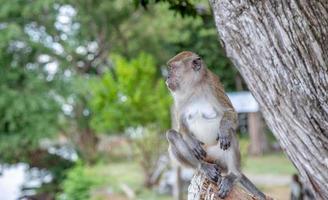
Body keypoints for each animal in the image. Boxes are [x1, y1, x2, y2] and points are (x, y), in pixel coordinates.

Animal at [165, 51, 266, 198]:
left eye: (171, 69)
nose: (167, 77)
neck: (194, 88)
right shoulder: (178, 99)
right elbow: (181, 126)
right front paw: (191, 141)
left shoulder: (213, 87)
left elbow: (231, 113)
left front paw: (223, 129)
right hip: (207, 156)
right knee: (172, 135)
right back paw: (203, 167)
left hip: (220, 158)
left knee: (230, 134)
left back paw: (233, 174)